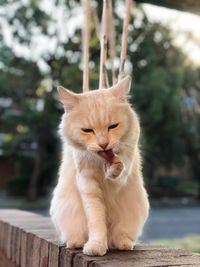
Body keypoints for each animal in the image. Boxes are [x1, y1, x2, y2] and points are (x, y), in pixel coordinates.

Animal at [50, 76, 149, 256]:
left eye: (113, 126)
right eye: (87, 130)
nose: (103, 144)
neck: (101, 162)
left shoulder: (124, 173)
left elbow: (119, 170)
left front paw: (113, 167)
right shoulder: (87, 182)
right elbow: (96, 220)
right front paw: (96, 246)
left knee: (120, 235)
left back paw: (123, 243)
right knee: (78, 235)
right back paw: (76, 242)